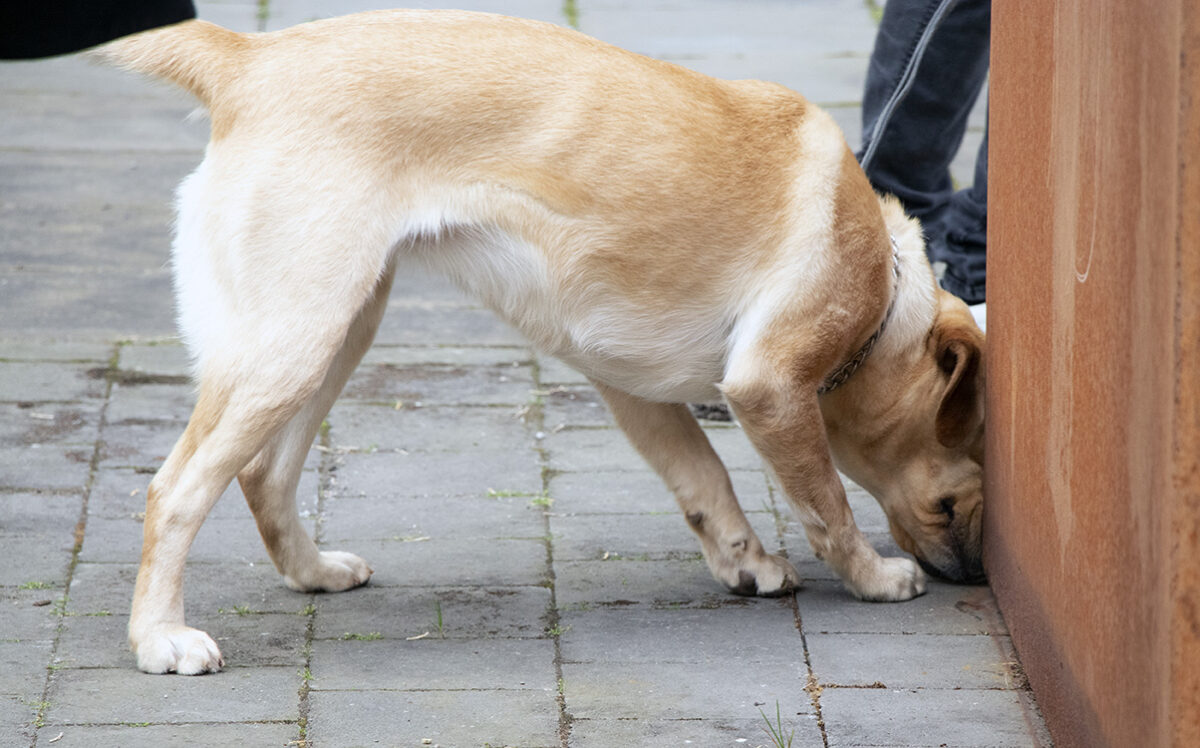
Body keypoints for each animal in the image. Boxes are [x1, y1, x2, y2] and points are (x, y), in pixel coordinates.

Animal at [98, 10, 984, 677]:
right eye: (970, 459)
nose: (979, 571)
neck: (882, 288)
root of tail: (248, 57)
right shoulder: (769, 387)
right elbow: (828, 504)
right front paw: (874, 578)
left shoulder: (628, 386)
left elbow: (704, 479)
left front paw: (745, 562)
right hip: (294, 343)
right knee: (175, 491)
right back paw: (160, 639)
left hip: (336, 333)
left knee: (263, 476)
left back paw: (313, 573)